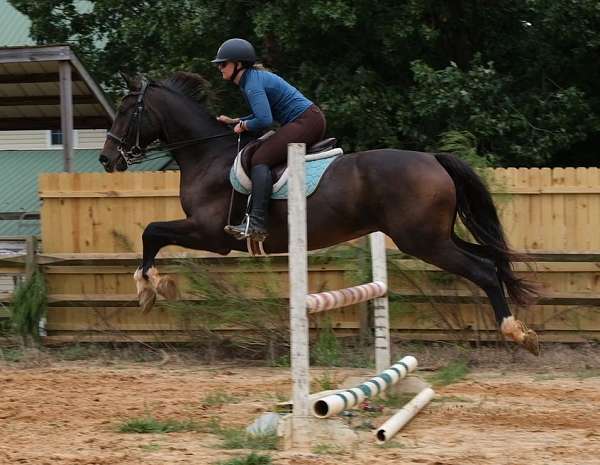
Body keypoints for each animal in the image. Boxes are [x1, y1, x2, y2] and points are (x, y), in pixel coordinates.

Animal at [101, 72, 540, 356]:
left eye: (125, 111)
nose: (107, 159)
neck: (207, 155)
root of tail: (433, 158)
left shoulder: (211, 234)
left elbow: (151, 231)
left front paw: (149, 289)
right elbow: (153, 233)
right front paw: (154, 287)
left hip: (424, 241)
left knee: (483, 271)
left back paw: (515, 332)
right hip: (437, 236)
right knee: (491, 259)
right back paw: (521, 328)